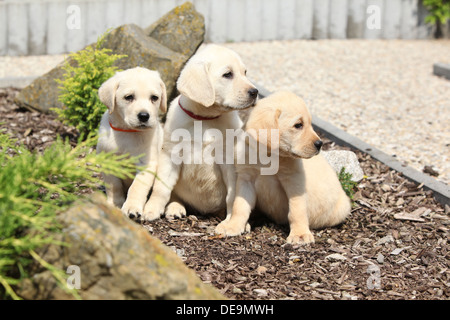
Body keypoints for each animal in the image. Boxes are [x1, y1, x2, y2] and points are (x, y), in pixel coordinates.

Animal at [96, 66, 167, 219]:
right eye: (129, 97)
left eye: (154, 98)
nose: (144, 116)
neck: (127, 132)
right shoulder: (107, 161)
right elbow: (113, 185)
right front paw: (115, 204)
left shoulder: (146, 164)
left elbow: (137, 187)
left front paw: (131, 207)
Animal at [142, 43, 258, 221]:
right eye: (228, 74)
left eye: (245, 73)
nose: (255, 92)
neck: (204, 119)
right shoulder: (170, 156)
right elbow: (161, 188)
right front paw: (151, 209)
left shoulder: (230, 162)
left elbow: (232, 196)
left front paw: (231, 220)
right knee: (174, 195)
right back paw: (175, 207)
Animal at [215, 91, 352, 244]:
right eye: (298, 125)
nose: (320, 144)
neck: (267, 157)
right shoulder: (246, 179)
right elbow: (240, 206)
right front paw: (233, 225)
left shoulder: (294, 181)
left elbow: (297, 210)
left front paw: (300, 234)